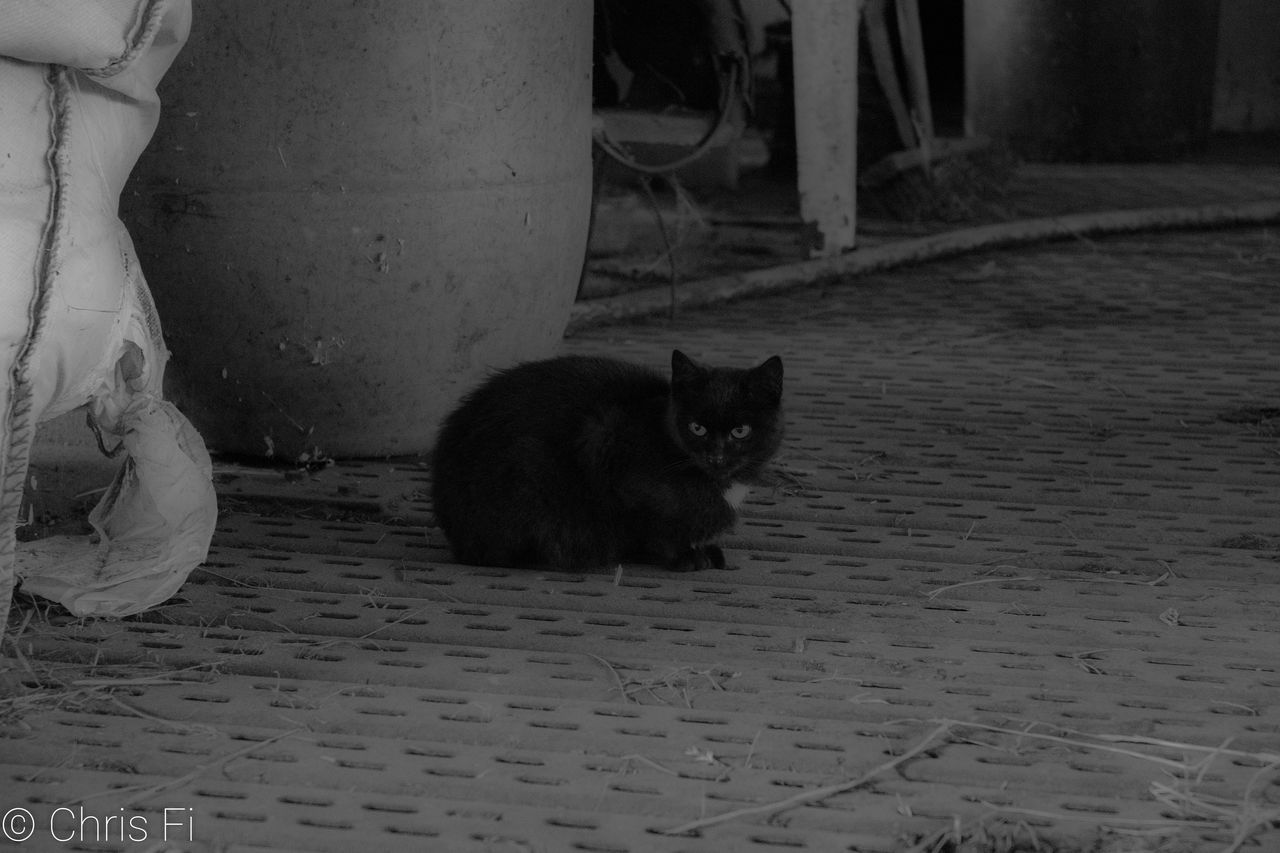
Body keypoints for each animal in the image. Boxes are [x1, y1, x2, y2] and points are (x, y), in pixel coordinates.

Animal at [435, 345, 783, 571]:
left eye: (740, 431)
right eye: (697, 427)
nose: (716, 455)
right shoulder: (605, 444)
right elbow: (654, 529)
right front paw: (683, 556)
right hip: (529, 472)